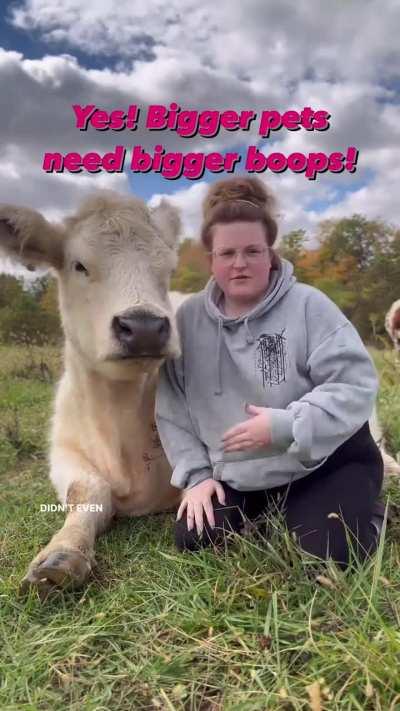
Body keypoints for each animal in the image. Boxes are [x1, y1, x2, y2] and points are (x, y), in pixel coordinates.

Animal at [0, 191, 182, 596]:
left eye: (169, 269)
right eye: (79, 265)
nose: (145, 327)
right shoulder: (63, 452)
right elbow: (88, 492)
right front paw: (61, 554)